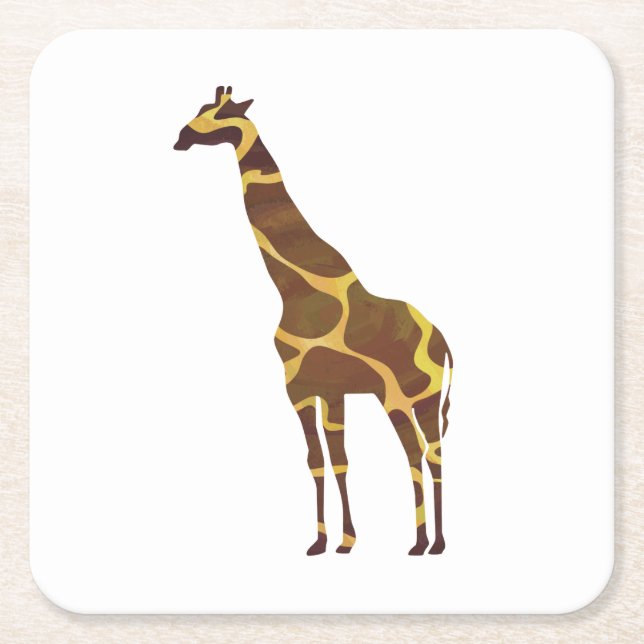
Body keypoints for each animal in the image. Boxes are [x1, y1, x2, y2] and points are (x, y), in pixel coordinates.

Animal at [174, 86, 453, 556]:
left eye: (220, 114)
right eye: (200, 108)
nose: (180, 138)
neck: (295, 290)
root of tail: (446, 344)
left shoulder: (305, 388)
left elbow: (326, 459)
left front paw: (338, 539)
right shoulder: (317, 389)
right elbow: (327, 461)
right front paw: (334, 541)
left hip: (411, 395)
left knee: (424, 453)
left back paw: (427, 544)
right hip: (408, 398)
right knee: (424, 453)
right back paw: (427, 541)